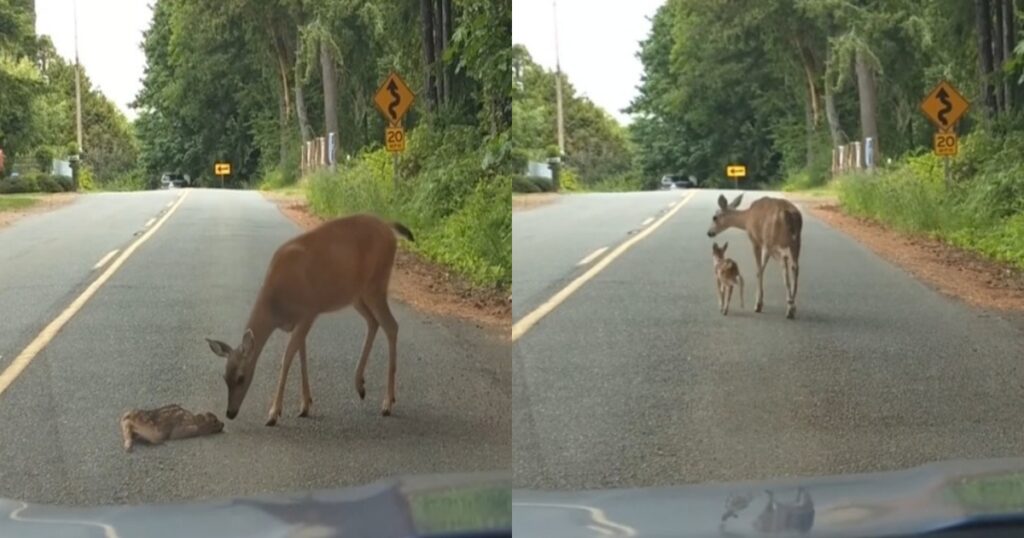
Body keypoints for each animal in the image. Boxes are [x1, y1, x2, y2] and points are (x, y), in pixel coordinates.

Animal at [205, 212, 413, 426]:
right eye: (224, 376)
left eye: (241, 377)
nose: (230, 413)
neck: (275, 305)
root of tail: (389, 227)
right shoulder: (298, 321)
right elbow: (301, 355)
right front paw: (305, 405)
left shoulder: (309, 312)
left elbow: (287, 357)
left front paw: (274, 413)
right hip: (357, 295)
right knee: (373, 322)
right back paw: (360, 385)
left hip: (376, 285)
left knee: (391, 326)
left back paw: (387, 403)